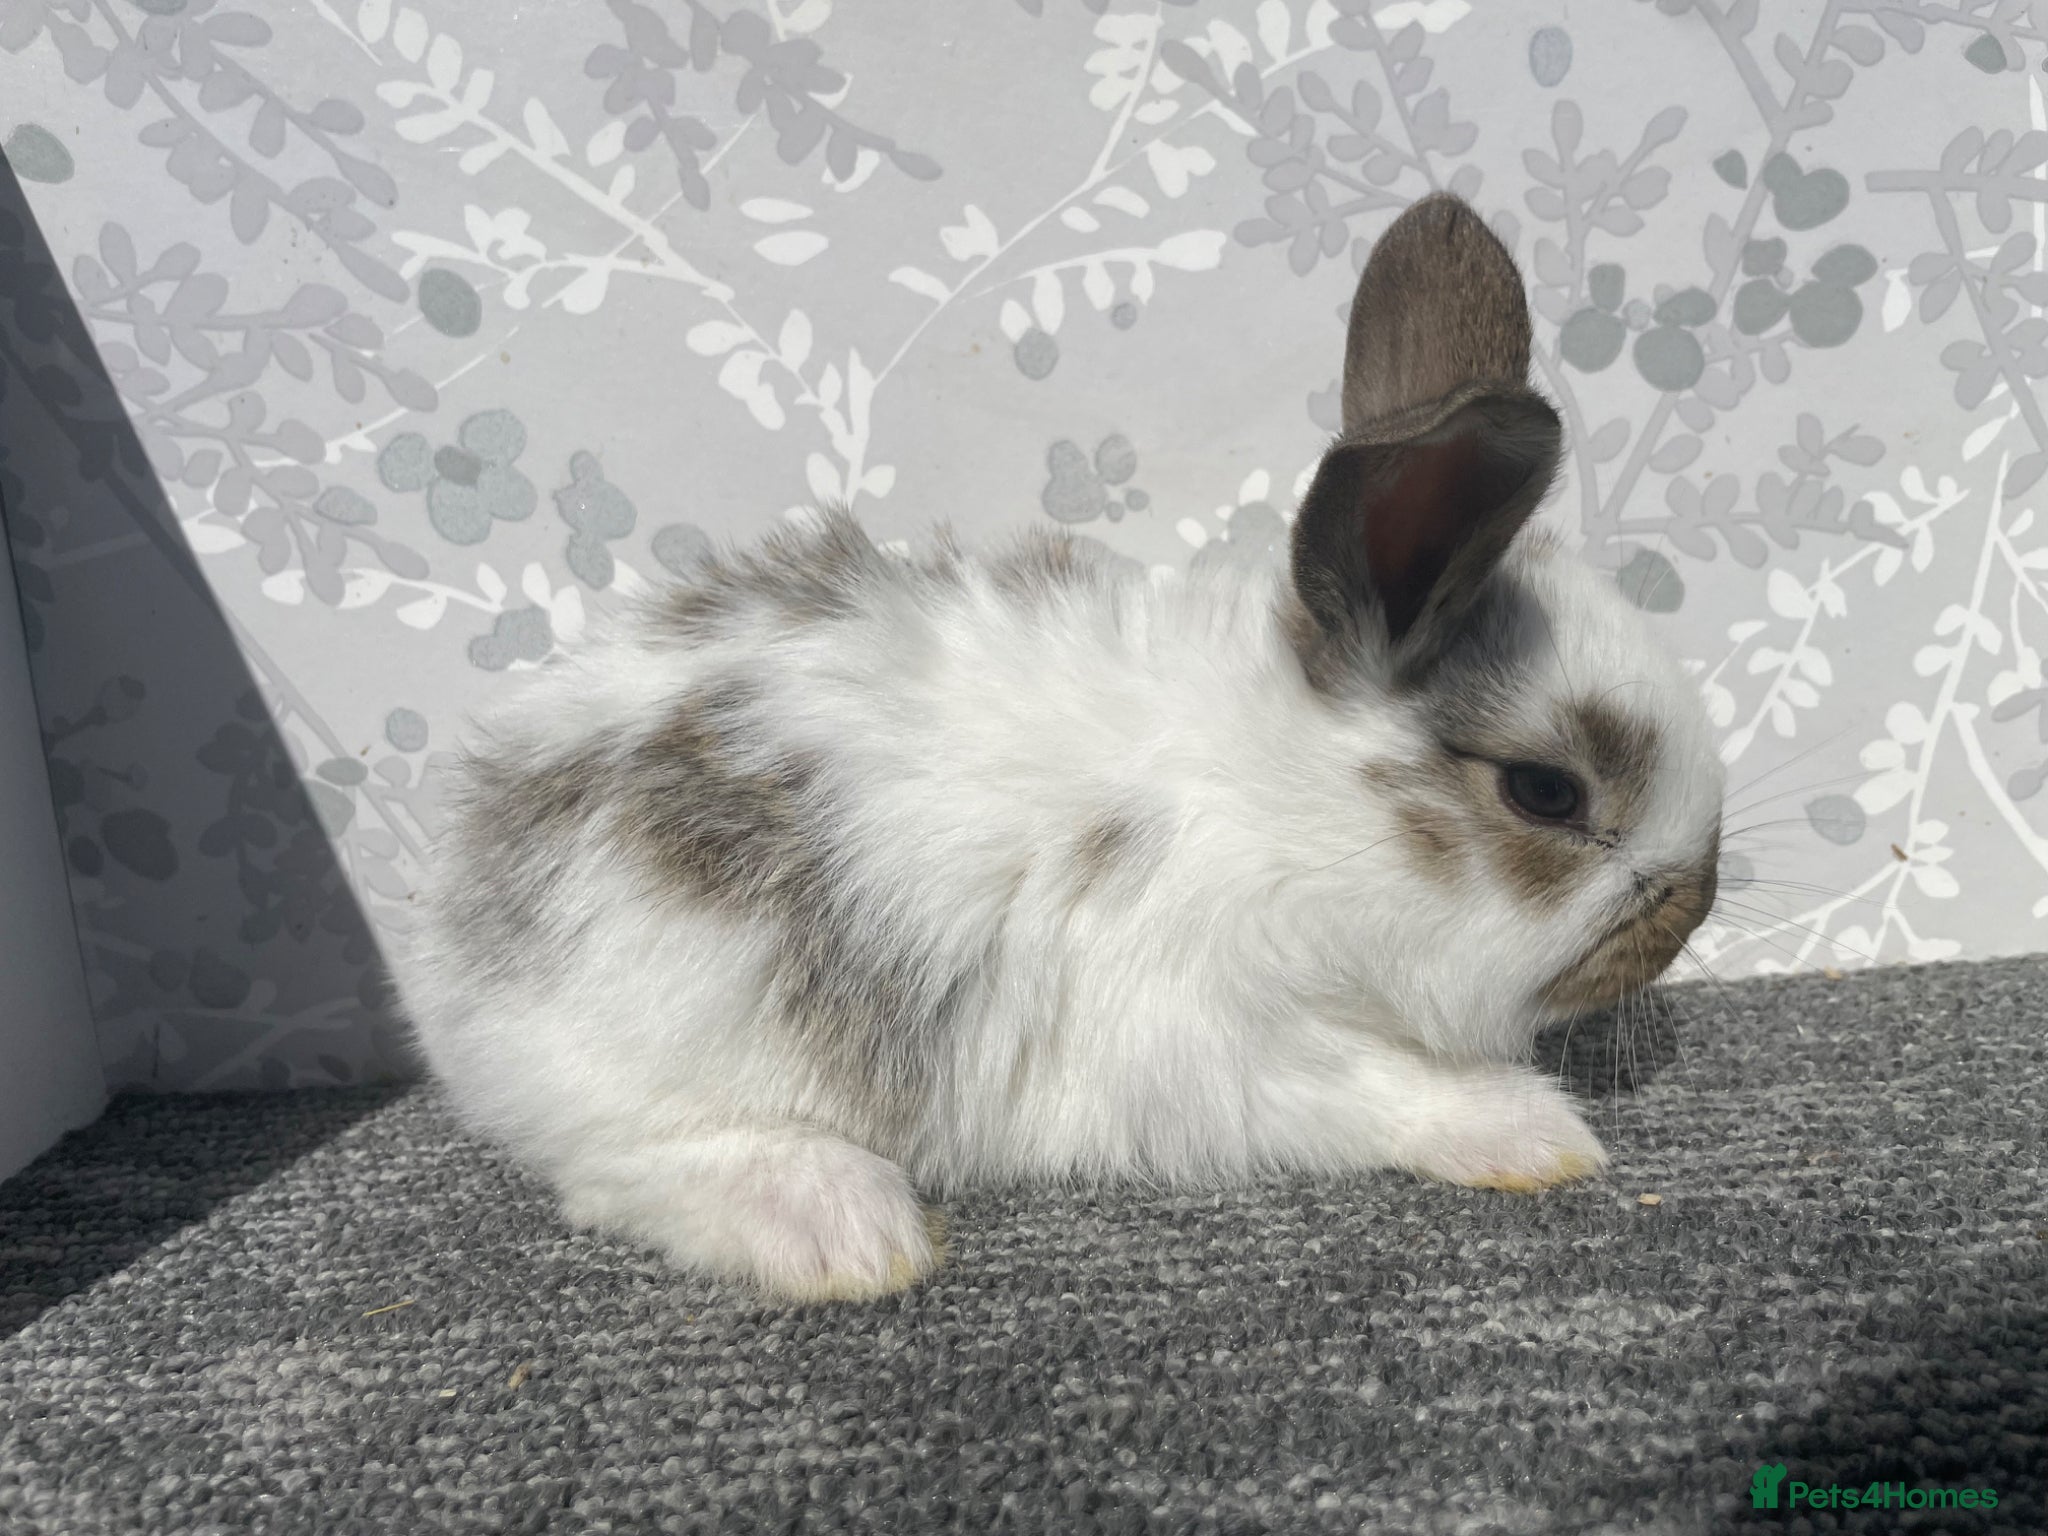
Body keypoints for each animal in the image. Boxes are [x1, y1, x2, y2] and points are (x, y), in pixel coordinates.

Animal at [399, 193, 1725, 1302]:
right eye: (1546, 792)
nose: (1692, 908)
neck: (1276, 801)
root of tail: (454, 940)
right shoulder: (1211, 1031)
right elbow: (1376, 1086)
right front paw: (1535, 1132)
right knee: (615, 1165)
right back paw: (841, 1229)